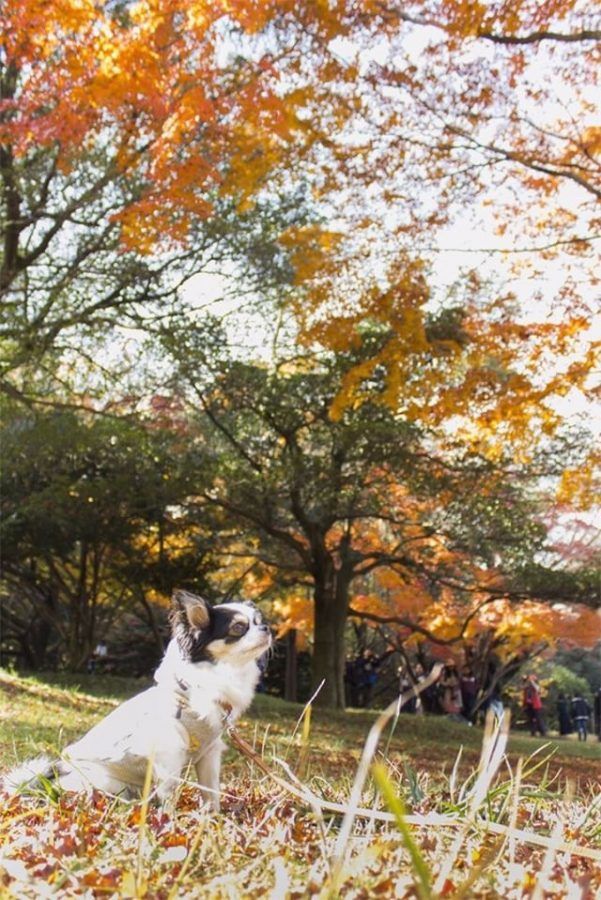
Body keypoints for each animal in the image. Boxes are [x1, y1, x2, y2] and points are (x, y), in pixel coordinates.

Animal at [3, 592, 270, 808]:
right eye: (239, 627)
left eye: (258, 621)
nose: (267, 628)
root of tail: (56, 777)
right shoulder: (170, 753)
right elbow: (169, 794)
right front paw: (170, 821)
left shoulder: (209, 753)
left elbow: (211, 793)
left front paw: (211, 821)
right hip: (107, 781)